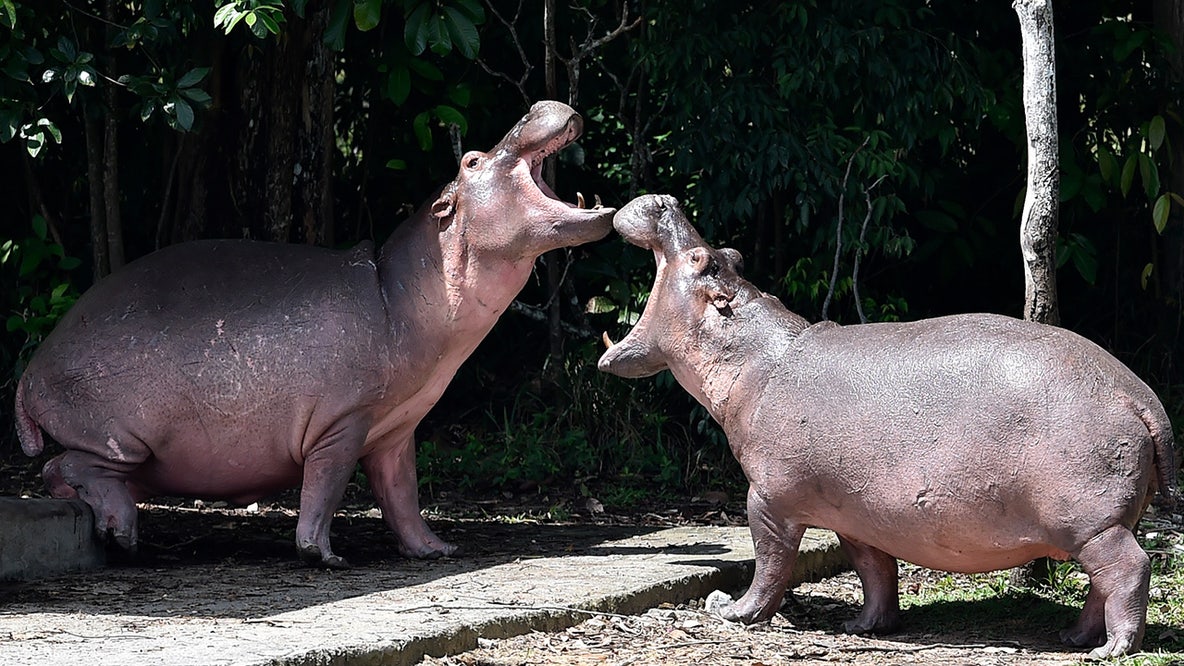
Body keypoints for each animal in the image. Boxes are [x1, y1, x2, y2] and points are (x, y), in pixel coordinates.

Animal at [14, 101, 614, 568]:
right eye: (470, 160)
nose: (536, 105)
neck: (399, 289)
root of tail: (30, 372)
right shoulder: (342, 423)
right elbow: (324, 489)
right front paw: (325, 556)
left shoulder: (396, 429)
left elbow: (403, 496)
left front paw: (436, 551)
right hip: (123, 439)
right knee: (65, 467)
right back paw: (122, 534)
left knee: (63, 470)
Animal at [597, 194, 1177, 659]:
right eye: (729, 255)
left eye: (702, 260)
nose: (664, 199)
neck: (754, 357)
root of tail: (1141, 393)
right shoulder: (854, 515)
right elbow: (873, 570)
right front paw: (866, 626)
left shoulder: (768, 499)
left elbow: (770, 563)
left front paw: (731, 610)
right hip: (1098, 524)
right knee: (1101, 583)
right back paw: (1074, 638)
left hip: (1092, 523)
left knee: (1128, 570)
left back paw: (1111, 649)